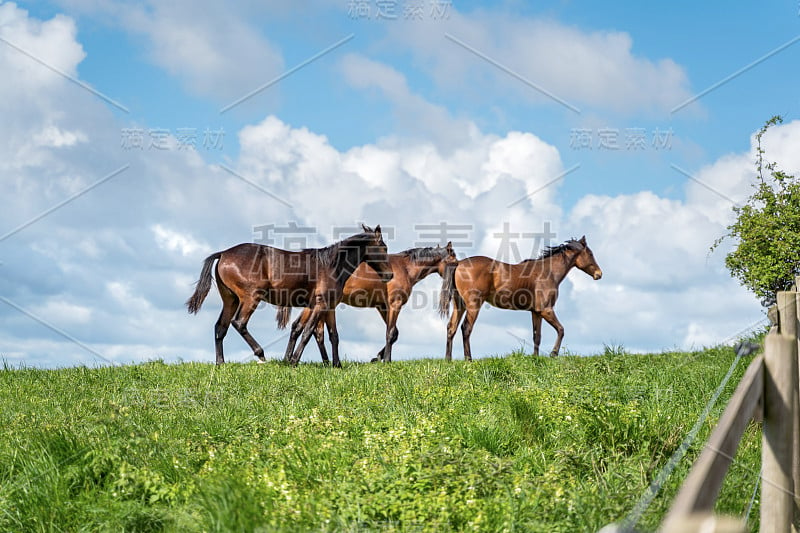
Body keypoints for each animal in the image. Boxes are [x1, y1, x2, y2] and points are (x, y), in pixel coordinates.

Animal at [184, 222, 390, 364]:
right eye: (384, 247)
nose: (390, 275)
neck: (331, 266)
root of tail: (223, 253)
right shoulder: (320, 305)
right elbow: (307, 332)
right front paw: (293, 361)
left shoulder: (327, 306)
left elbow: (332, 335)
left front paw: (336, 365)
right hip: (251, 298)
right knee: (239, 323)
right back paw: (261, 354)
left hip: (230, 300)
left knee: (221, 328)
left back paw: (220, 363)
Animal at [280, 241, 456, 362]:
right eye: (454, 261)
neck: (405, 268)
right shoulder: (395, 304)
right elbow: (390, 333)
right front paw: (386, 360)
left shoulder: (382, 306)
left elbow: (394, 333)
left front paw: (377, 358)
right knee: (306, 329)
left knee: (304, 329)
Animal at [438, 237, 600, 362]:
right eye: (590, 253)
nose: (599, 274)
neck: (548, 272)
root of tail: (459, 263)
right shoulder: (546, 310)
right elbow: (561, 330)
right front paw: (553, 354)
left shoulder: (536, 312)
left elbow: (537, 336)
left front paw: (535, 358)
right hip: (473, 306)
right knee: (466, 328)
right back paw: (468, 359)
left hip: (460, 305)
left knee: (451, 328)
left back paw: (448, 360)